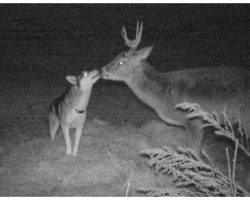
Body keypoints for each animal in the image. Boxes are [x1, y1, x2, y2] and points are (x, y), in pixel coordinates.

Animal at [100, 21, 250, 153]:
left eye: (120, 62)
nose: (102, 70)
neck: (163, 95)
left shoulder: (195, 121)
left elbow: (195, 153)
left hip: (246, 117)